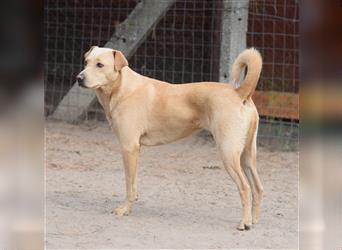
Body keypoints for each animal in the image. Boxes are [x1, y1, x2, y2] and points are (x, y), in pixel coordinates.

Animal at [76, 46, 264, 230]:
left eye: (100, 65)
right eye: (86, 62)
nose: (79, 78)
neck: (121, 88)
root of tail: (239, 93)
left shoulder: (129, 147)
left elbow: (129, 184)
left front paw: (125, 209)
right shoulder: (136, 150)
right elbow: (134, 183)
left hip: (229, 154)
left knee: (245, 187)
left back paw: (244, 223)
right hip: (247, 156)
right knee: (257, 187)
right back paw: (254, 220)